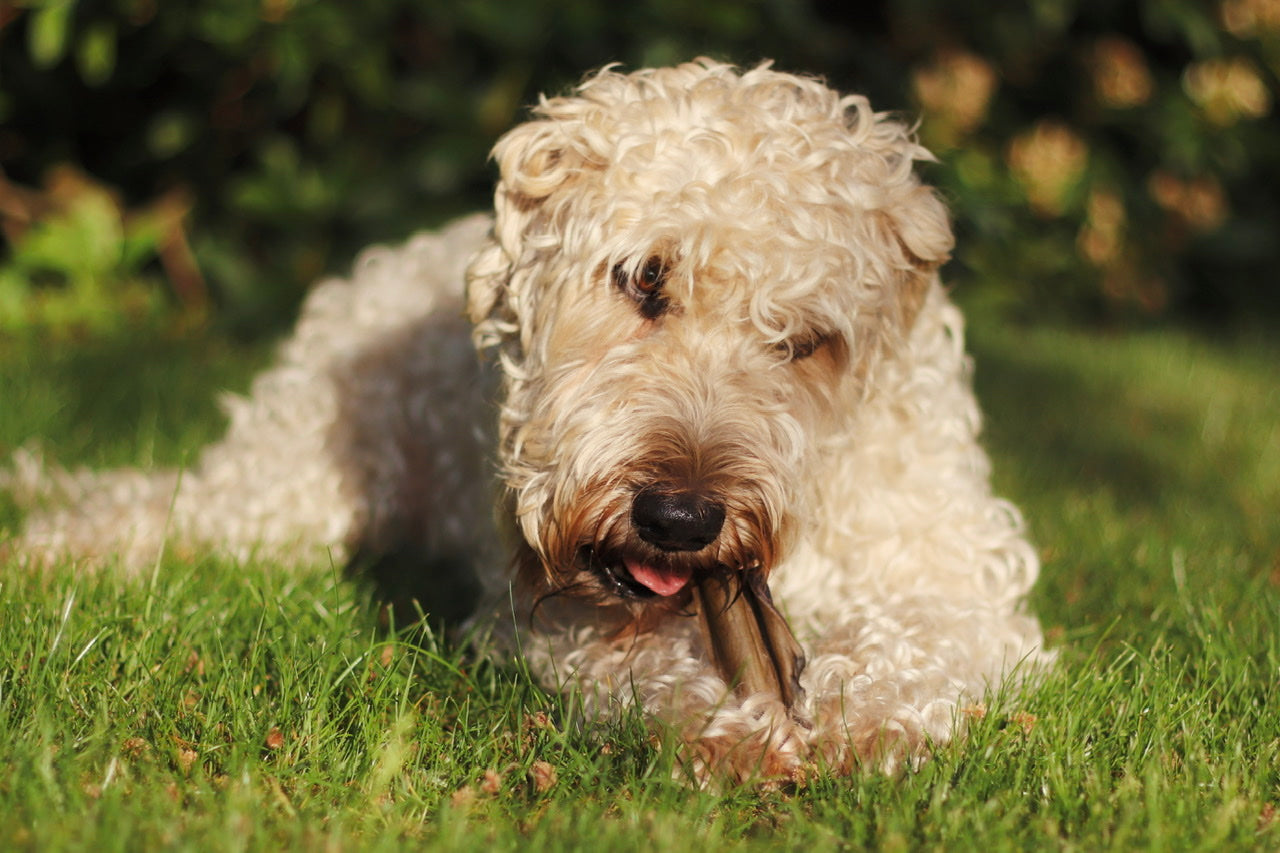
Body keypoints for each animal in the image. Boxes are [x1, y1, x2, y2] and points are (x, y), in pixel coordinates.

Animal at [5, 58, 1044, 778]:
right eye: (644, 277)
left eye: (809, 340)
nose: (680, 517)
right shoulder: (554, 615)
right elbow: (638, 659)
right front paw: (732, 724)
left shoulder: (951, 575)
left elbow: (928, 645)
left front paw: (863, 716)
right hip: (292, 489)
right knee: (168, 510)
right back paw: (50, 546)